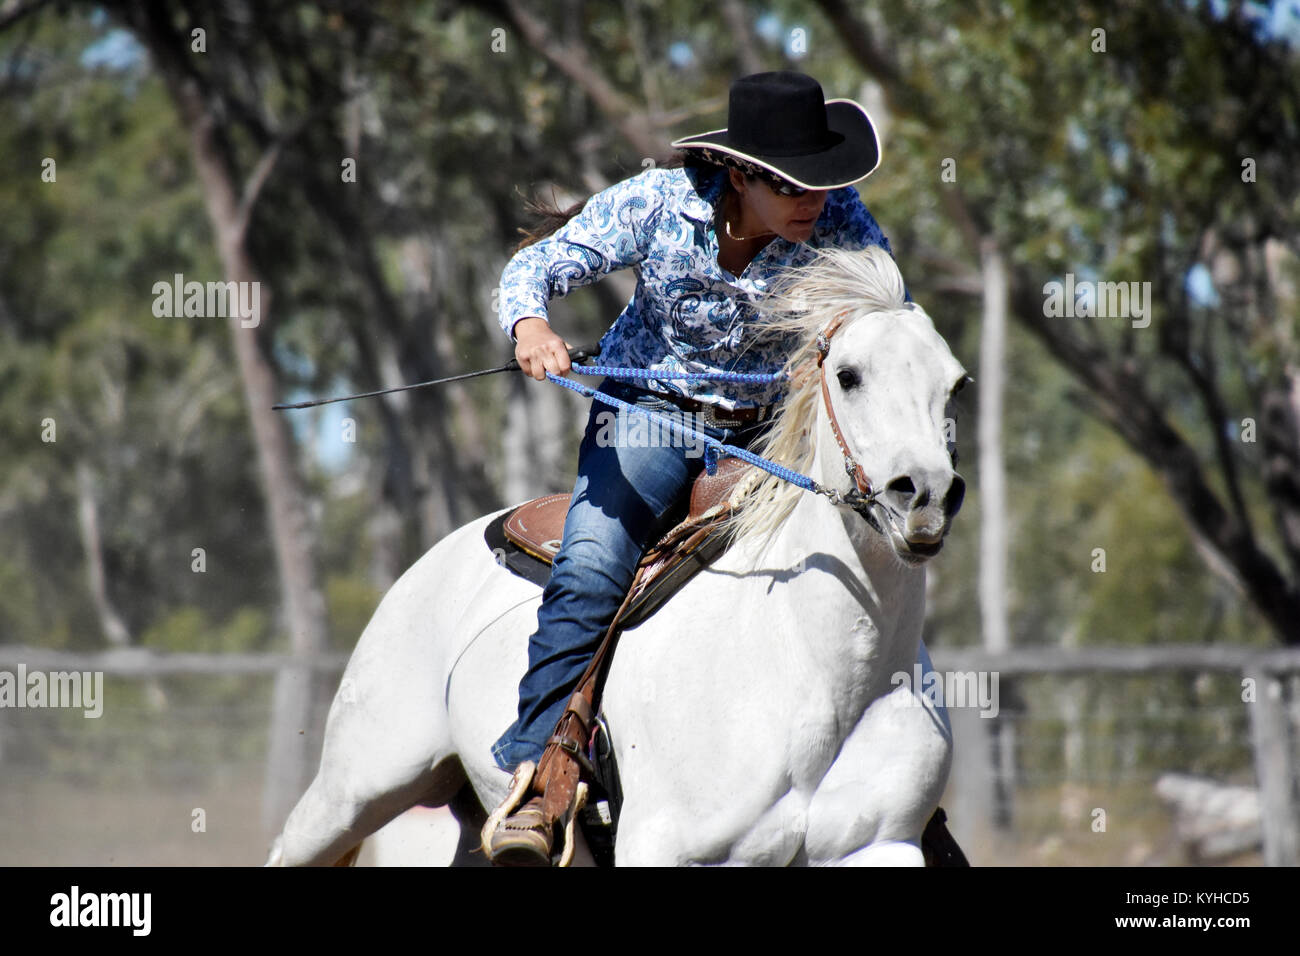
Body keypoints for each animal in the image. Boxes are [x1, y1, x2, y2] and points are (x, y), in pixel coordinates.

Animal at [269, 244, 972, 868]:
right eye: (848, 376)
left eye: (957, 384)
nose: (926, 495)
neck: (818, 672)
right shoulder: (664, 848)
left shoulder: (880, 846)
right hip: (356, 786)